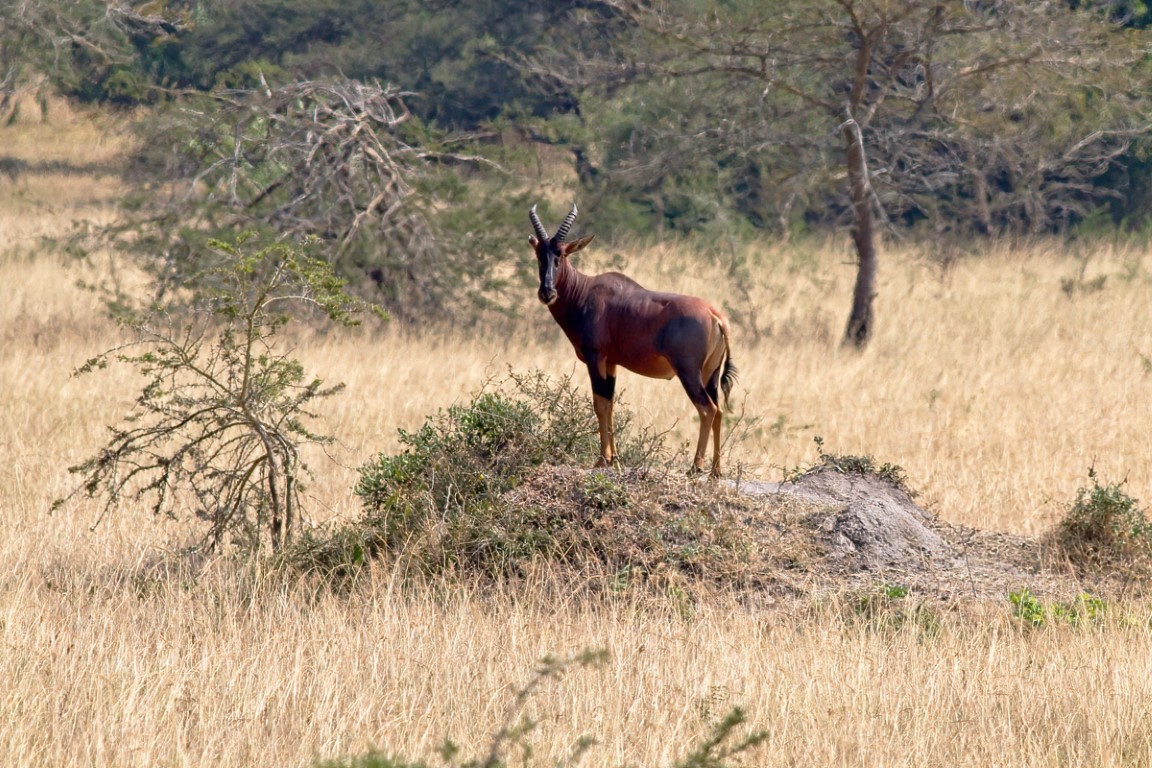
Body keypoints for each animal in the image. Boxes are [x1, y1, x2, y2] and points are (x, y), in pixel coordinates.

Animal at [529, 203, 737, 481]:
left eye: (561, 255)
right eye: (539, 254)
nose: (547, 292)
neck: (586, 291)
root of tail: (715, 315)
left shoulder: (595, 357)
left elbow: (599, 403)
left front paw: (601, 461)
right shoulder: (611, 363)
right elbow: (610, 404)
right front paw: (614, 459)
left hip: (688, 372)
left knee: (707, 409)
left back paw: (695, 467)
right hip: (710, 374)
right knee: (719, 410)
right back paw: (716, 470)